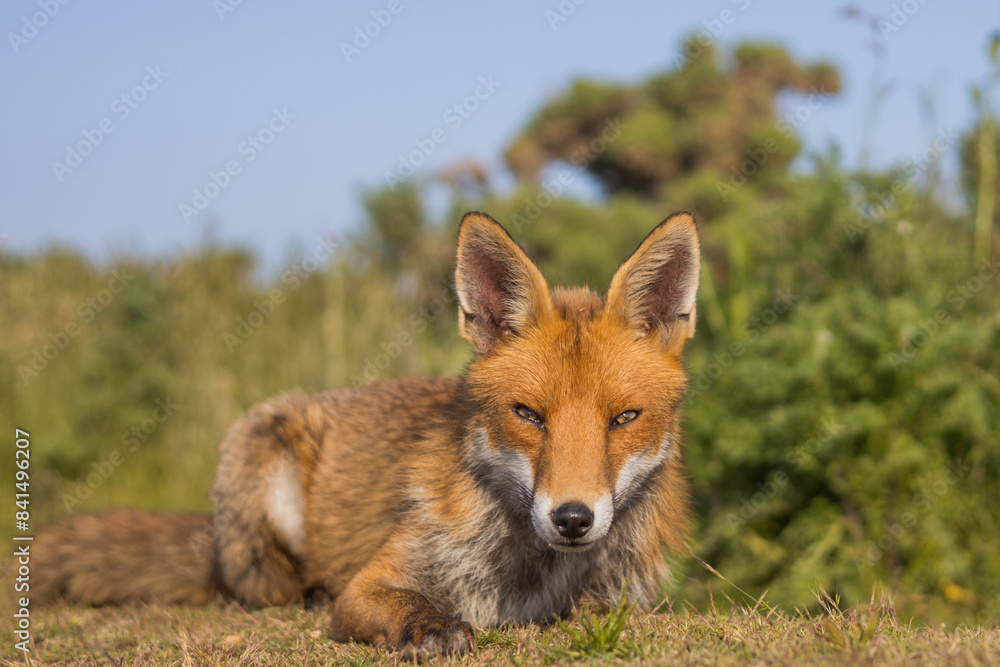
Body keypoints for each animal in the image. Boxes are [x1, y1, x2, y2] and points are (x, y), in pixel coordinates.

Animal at [32, 210, 701, 656]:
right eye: (529, 415)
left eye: (624, 418)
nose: (572, 518)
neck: (531, 577)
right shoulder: (373, 582)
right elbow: (404, 604)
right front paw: (432, 627)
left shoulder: (623, 598)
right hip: (265, 470)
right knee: (276, 587)